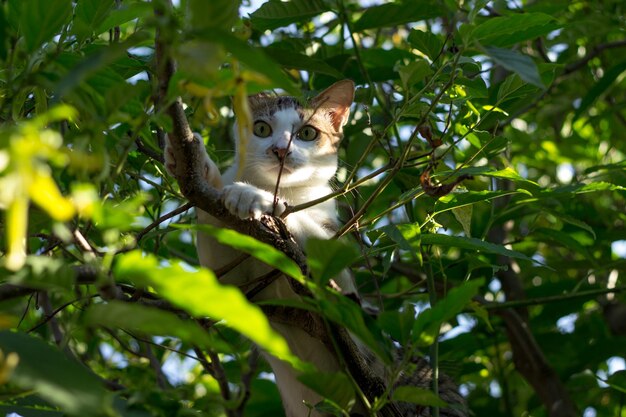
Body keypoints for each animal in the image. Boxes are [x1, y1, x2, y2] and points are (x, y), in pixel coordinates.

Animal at [163, 79, 466, 414]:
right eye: (261, 128)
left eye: (308, 133)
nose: (280, 150)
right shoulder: (243, 287)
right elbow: (221, 272)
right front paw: (193, 160)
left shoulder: (343, 287)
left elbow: (312, 238)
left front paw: (257, 197)